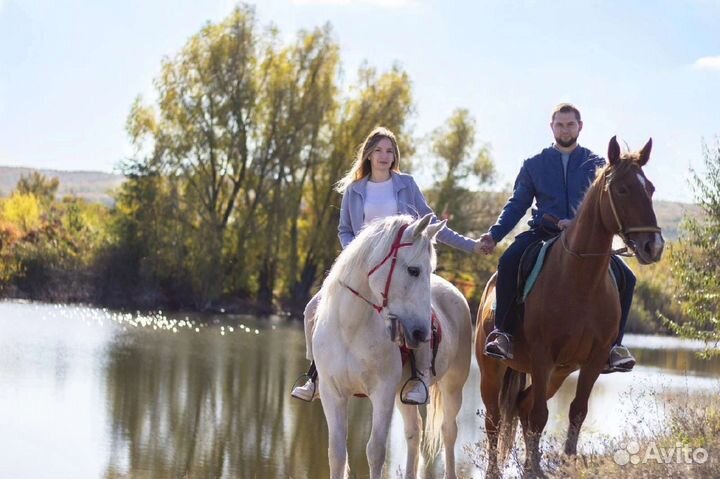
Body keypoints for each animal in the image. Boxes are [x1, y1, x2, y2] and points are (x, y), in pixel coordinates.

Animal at [314, 215, 472, 479]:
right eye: (413, 270)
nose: (422, 333)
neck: (350, 329)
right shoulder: (332, 393)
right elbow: (336, 453)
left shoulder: (383, 392)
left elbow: (375, 451)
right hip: (404, 394)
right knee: (414, 432)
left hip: (453, 386)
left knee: (448, 432)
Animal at [476, 137, 668, 478]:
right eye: (621, 189)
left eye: (650, 189)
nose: (653, 246)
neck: (579, 280)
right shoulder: (542, 356)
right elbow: (540, 416)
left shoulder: (592, 360)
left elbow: (577, 411)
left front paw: (565, 464)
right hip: (493, 369)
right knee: (495, 418)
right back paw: (495, 471)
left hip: (559, 373)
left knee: (522, 405)